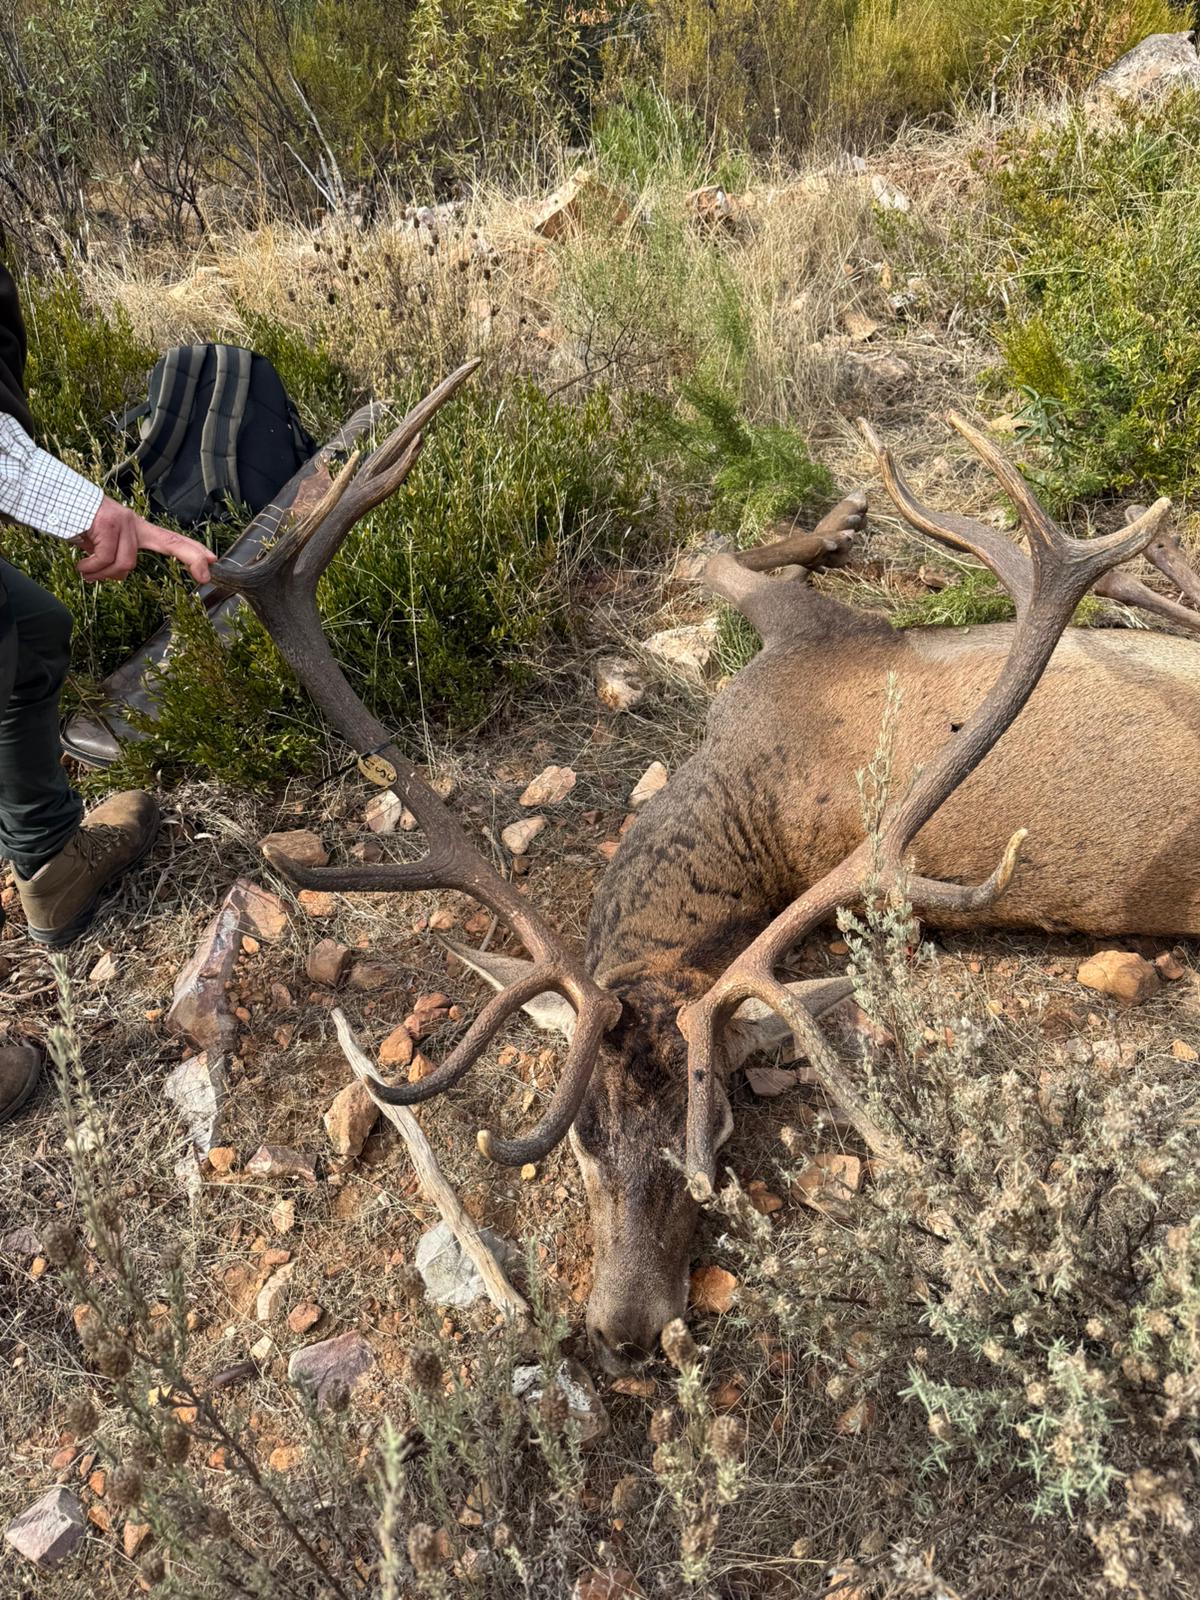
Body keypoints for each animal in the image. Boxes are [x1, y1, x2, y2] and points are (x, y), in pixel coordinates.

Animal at [211, 361, 1200, 1375]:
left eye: (718, 1132)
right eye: (584, 1138)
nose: (626, 1332)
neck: (734, 783)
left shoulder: (822, 637)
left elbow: (711, 557)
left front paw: (844, 514)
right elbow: (720, 559)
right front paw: (841, 519)